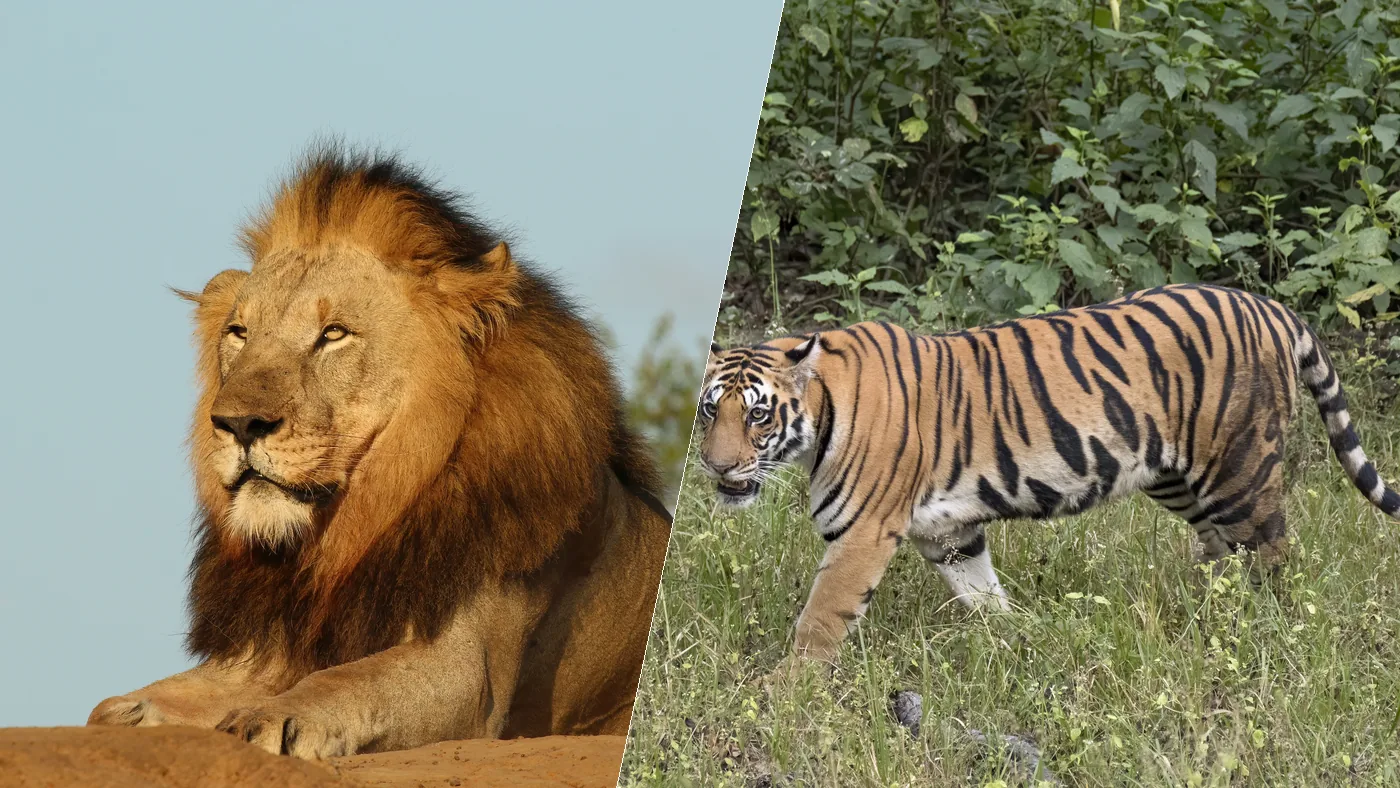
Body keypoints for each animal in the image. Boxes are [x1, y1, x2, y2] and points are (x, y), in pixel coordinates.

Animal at [86, 146, 673, 760]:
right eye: (239, 332)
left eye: (334, 334)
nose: (238, 424)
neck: (352, 531)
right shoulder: (269, 650)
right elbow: (119, 707)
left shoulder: (470, 671)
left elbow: (344, 681)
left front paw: (269, 720)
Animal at [698, 283, 1400, 663]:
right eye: (711, 409)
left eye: (757, 414)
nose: (716, 464)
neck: (819, 416)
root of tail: (1270, 306)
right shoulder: (948, 533)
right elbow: (982, 592)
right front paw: (1015, 639)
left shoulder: (863, 533)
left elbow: (820, 620)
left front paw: (785, 692)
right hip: (1176, 477)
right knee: (1219, 551)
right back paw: (1200, 607)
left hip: (1239, 470)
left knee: (1274, 554)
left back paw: (1266, 630)